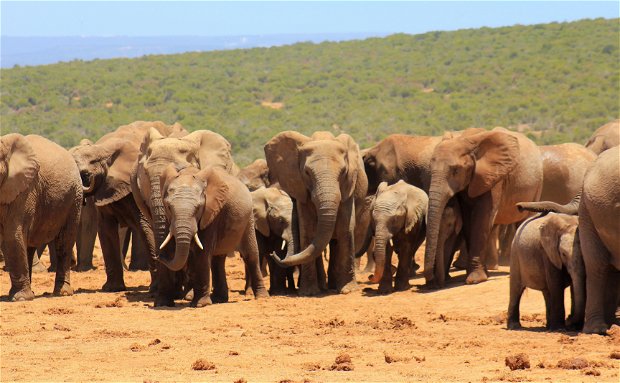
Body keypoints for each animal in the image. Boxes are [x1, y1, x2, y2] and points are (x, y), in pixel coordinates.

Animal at [0, 135, 82, 304]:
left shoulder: (23, 191)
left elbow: (12, 235)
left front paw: (20, 299)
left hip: (74, 198)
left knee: (65, 241)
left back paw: (62, 293)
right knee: (28, 245)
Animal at [156, 164, 268, 308]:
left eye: (198, 208)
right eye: (169, 207)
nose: (158, 256)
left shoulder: (211, 214)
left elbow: (202, 253)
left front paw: (200, 304)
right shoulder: (168, 218)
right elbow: (169, 247)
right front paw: (162, 304)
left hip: (248, 220)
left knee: (251, 255)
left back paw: (262, 297)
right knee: (218, 260)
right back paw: (219, 299)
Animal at [262, 130, 368, 296]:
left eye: (344, 172)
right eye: (307, 173)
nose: (274, 254)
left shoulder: (348, 188)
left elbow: (345, 229)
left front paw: (348, 290)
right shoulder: (302, 190)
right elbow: (308, 231)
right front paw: (308, 292)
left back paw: (332, 286)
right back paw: (322, 287)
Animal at [426, 129, 544, 288]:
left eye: (455, 170)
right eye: (430, 169)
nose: (435, 283)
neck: (466, 140)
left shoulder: (493, 179)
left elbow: (481, 220)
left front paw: (475, 280)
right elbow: (468, 221)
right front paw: (479, 276)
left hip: (537, 185)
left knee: (523, 220)